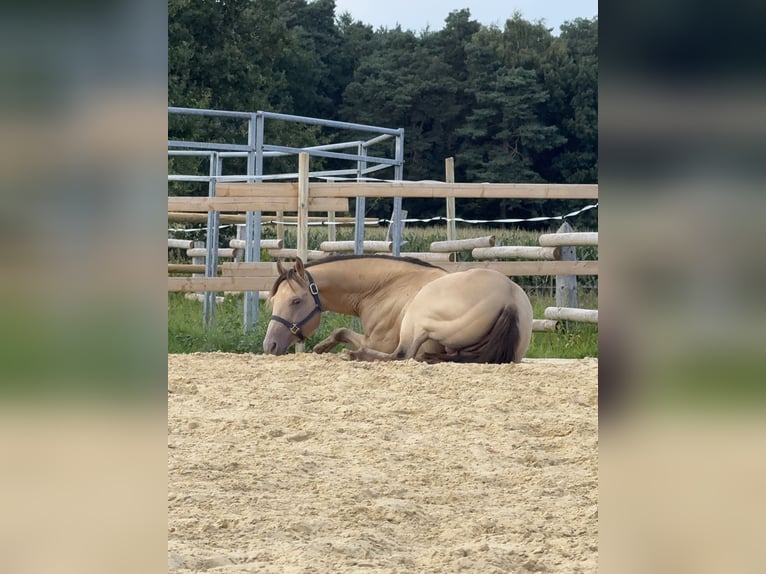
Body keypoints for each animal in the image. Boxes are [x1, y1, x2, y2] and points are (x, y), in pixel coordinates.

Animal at [262, 254, 533, 363]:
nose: (270, 346)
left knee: (402, 355)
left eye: (296, 301)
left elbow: (342, 332)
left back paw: (355, 355)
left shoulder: (377, 342)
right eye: (273, 301)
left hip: (416, 320)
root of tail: (507, 297)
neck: (387, 286)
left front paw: (323, 348)